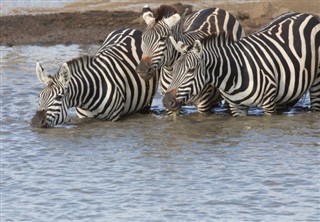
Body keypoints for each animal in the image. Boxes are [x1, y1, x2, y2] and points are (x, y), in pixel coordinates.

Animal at [31, 28, 159, 127]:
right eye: (40, 96)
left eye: (59, 97)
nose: (36, 122)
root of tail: (131, 29)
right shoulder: (83, 117)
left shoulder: (113, 118)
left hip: (147, 101)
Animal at [164, 11, 318, 116]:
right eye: (174, 69)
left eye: (191, 70)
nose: (166, 101)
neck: (234, 72)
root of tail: (308, 15)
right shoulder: (237, 107)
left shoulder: (268, 104)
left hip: (317, 82)